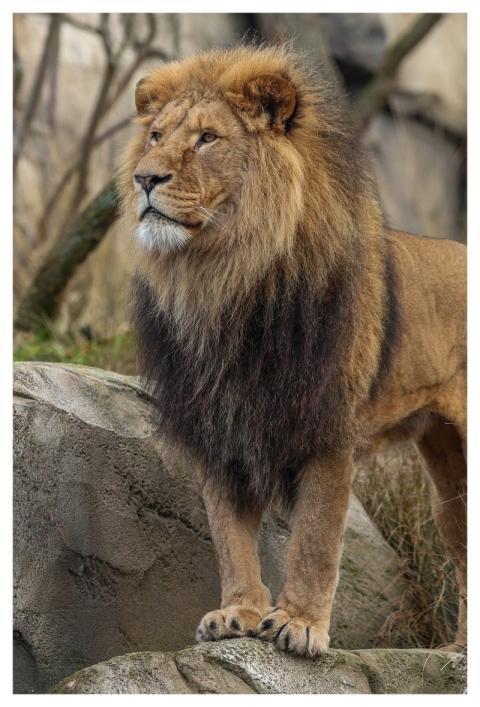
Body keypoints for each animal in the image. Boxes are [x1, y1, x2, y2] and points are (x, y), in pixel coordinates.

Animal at [118, 45, 466, 658]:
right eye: (155, 135)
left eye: (207, 138)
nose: (144, 177)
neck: (223, 280)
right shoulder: (220, 428)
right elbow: (230, 536)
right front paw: (238, 613)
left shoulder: (328, 429)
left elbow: (315, 540)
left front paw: (300, 624)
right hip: (447, 478)